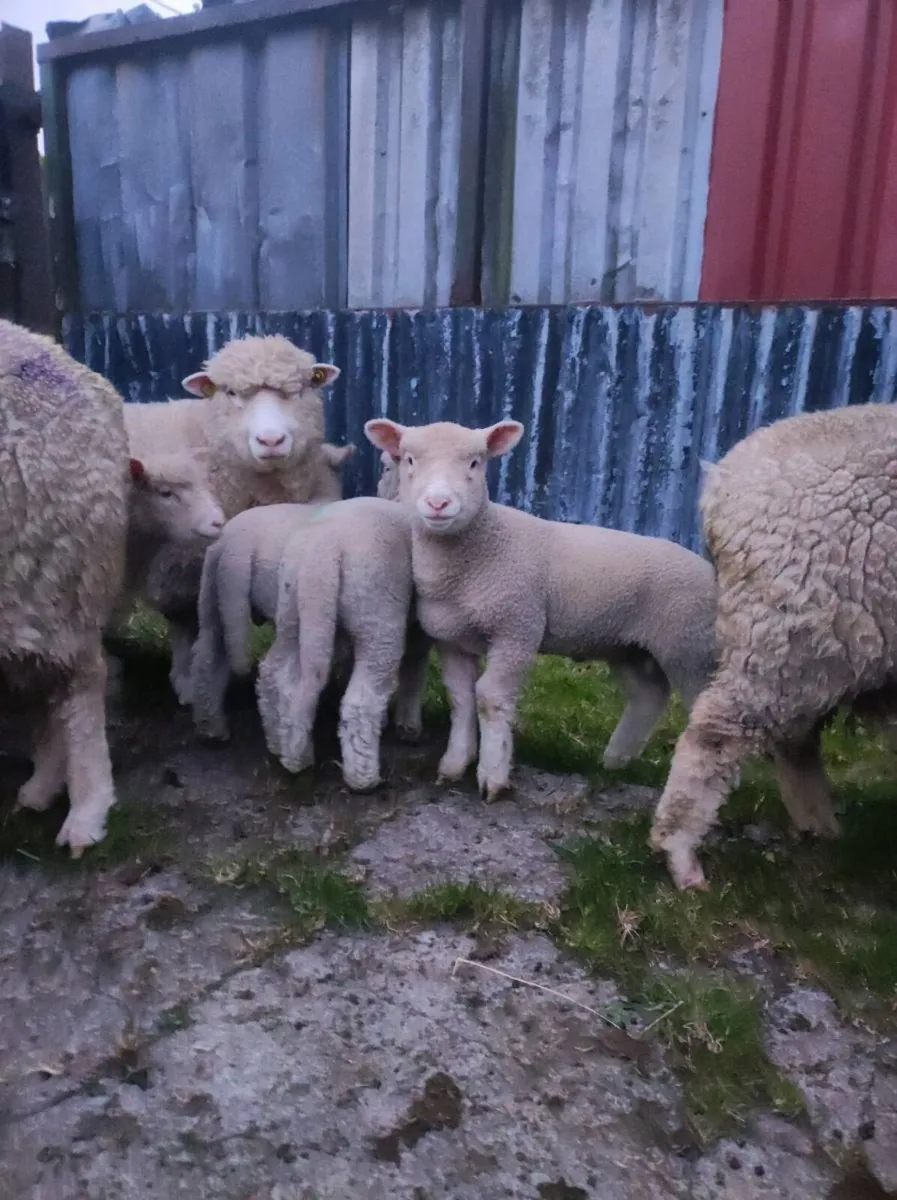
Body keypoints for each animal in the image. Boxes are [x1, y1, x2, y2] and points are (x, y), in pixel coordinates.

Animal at [364, 418, 718, 801]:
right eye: (409, 460)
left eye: (475, 462)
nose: (439, 502)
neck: (476, 552)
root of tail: (708, 570)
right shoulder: (452, 639)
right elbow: (461, 699)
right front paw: (454, 764)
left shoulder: (518, 627)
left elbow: (490, 697)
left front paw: (493, 776)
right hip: (631, 649)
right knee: (648, 695)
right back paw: (615, 761)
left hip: (690, 646)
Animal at [649, 402, 897, 891]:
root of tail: (725, 480)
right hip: (792, 630)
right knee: (719, 733)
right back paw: (681, 853)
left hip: (808, 641)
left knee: (793, 737)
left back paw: (820, 828)